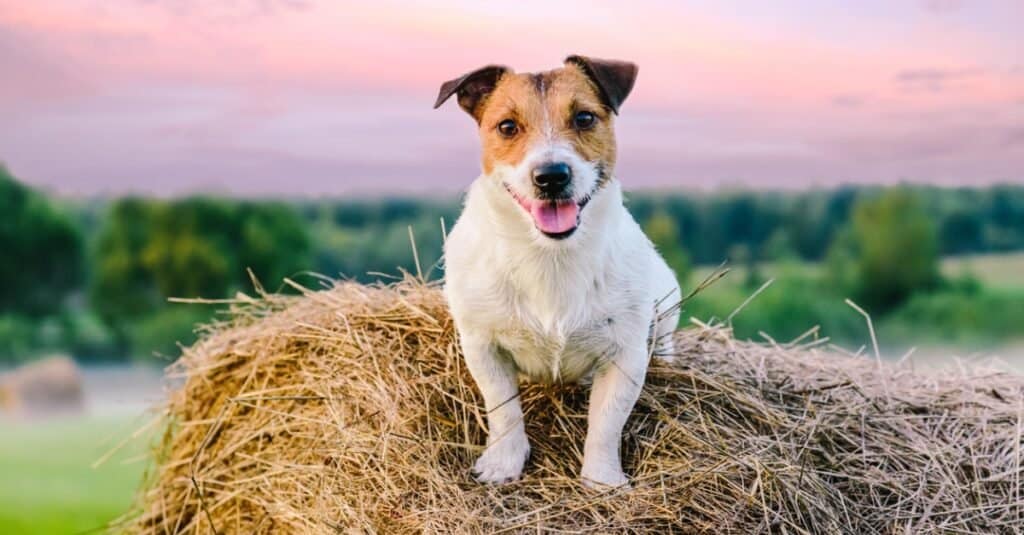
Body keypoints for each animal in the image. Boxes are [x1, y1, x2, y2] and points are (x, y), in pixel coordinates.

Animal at [434, 55, 679, 487]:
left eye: (584, 117)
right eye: (507, 126)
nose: (551, 176)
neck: (550, 256)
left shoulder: (625, 355)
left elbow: (606, 423)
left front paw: (601, 479)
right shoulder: (483, 346)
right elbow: (504, 411)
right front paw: (503, 464)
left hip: (667, 301)